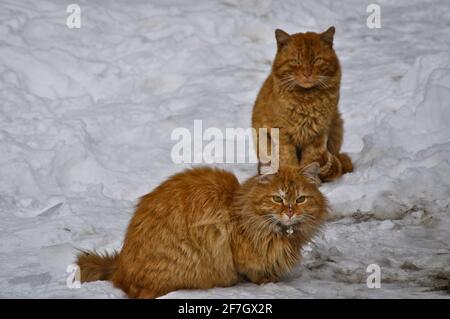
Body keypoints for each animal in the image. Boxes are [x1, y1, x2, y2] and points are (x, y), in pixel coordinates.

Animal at [76, 165, 326, 300]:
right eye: (277, 198)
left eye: (301, 199)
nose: (290, 212)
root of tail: (120, 266)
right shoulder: (241, 258)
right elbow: (255, 272)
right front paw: (268, 281)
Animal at [253, 26, 352, 182]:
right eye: (296, 61)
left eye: (317, 60)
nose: (307, 73)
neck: (306, 100)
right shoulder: (282, 135)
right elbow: (288, 160)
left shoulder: (318, 135)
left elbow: (310, 160)